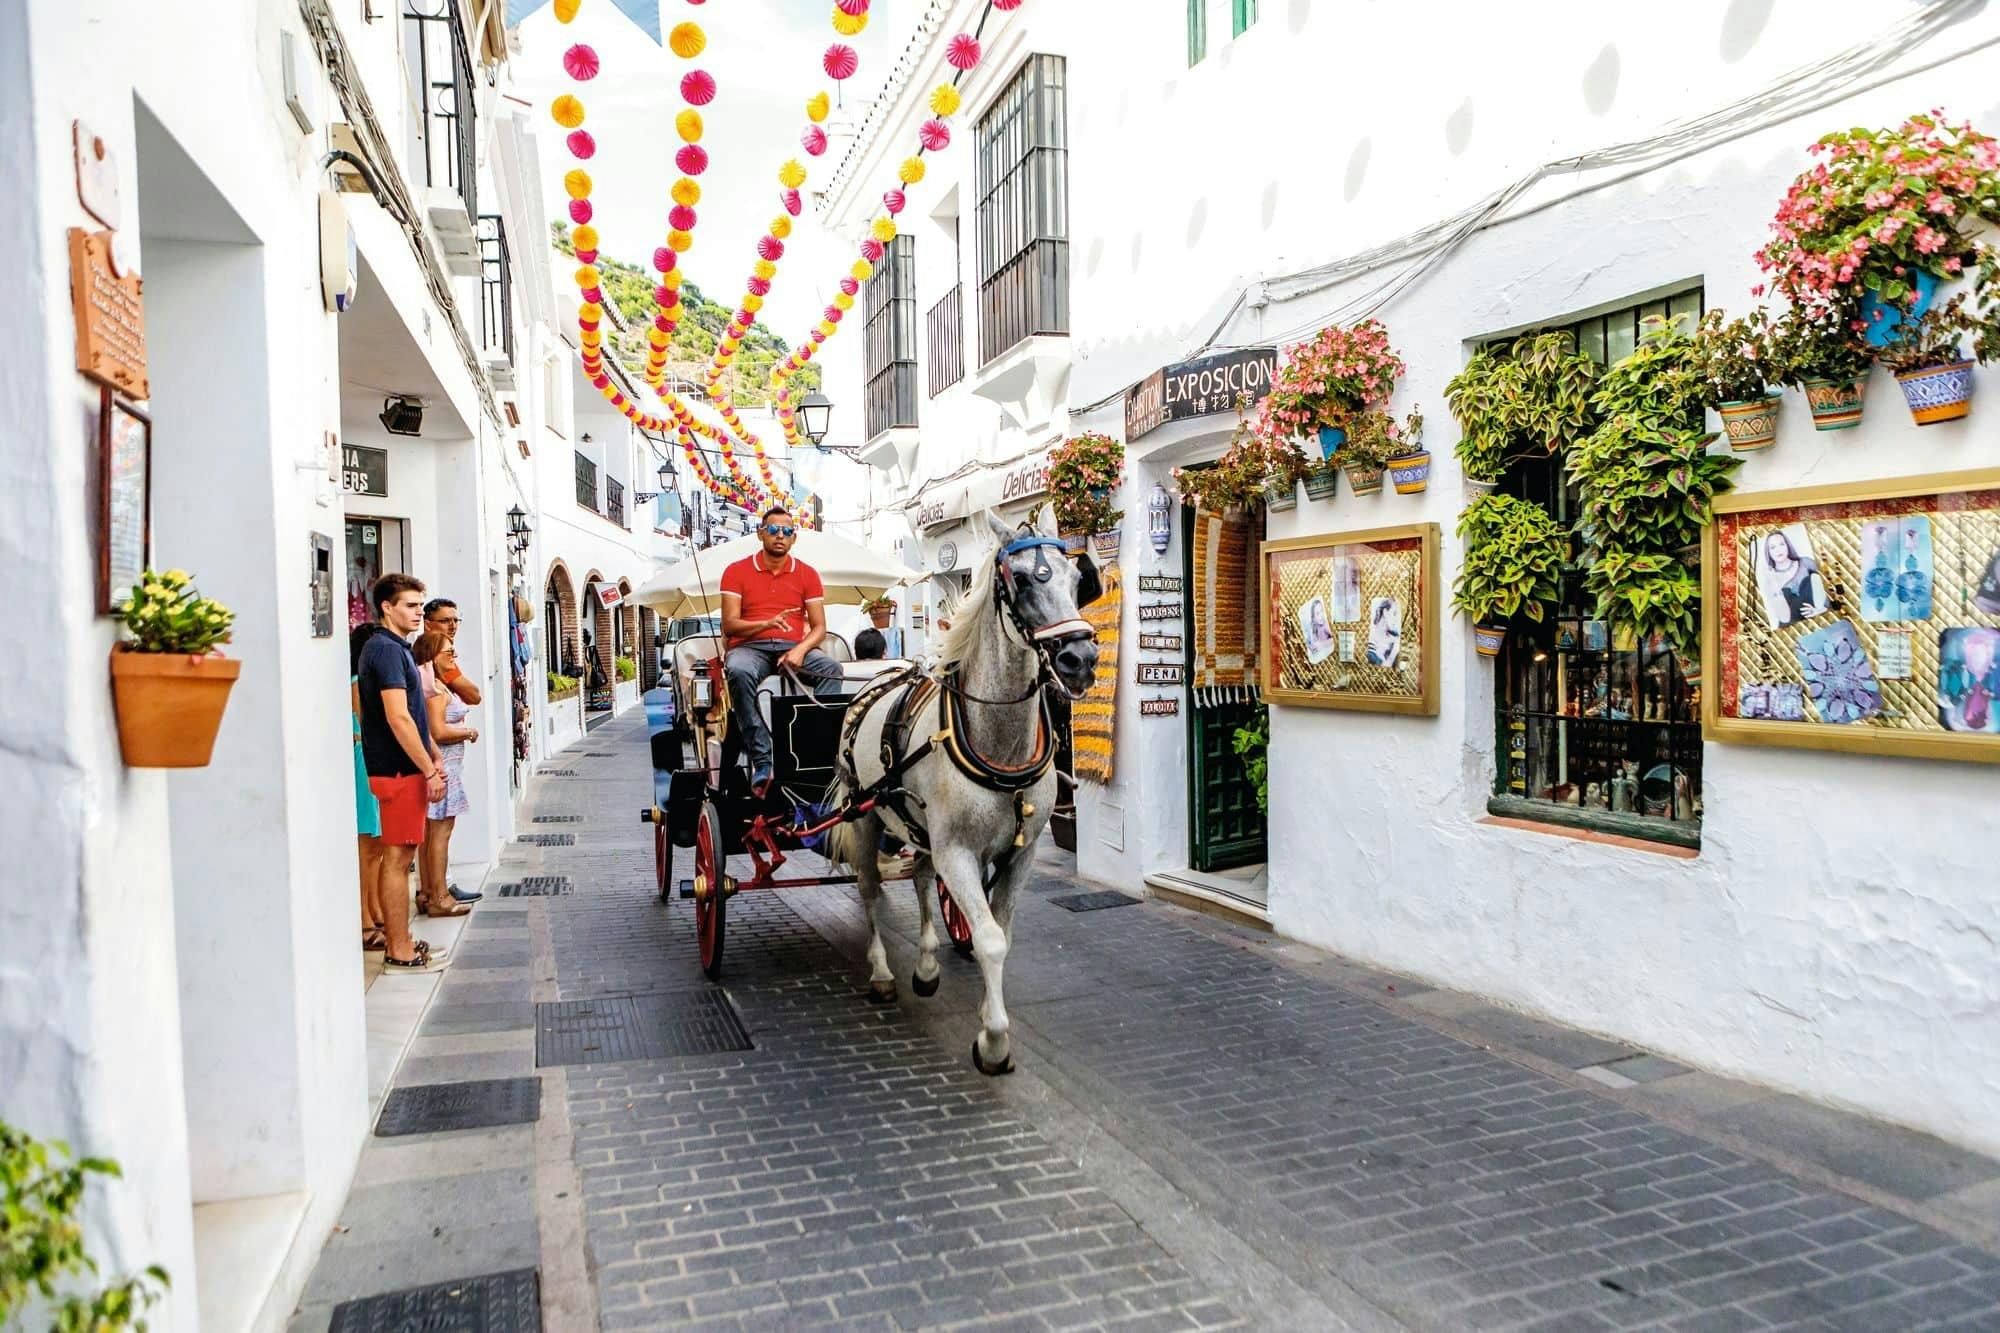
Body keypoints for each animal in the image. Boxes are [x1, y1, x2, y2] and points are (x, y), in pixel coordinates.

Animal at [832, 508, 1112, 1072]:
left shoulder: (1019, 854)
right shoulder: (957, 851)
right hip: (865, 815)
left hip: (917, 826)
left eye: (1079, 581)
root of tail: (873, 682)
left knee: (920, 880)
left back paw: (925, 965)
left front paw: (986, 1014)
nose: (1080, 659)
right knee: (870, 888)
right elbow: (987, 938)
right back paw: (882, 972)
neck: (997, 741)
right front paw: (994, 1041)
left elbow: (1000, 931)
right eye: (1021, 579)